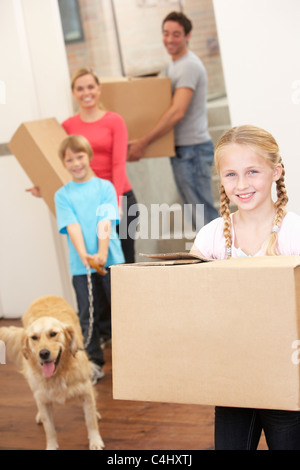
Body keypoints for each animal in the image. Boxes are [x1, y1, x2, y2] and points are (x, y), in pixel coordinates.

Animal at [0, 296, 104, 450]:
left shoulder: (85, 391)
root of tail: (46, 296)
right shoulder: (42, 398)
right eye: (34, 337)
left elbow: (90, 421)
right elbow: (49, 428)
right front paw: (51, 445)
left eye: (53, 334)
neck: (58, 374)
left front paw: (95, 441)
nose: (43, 353)